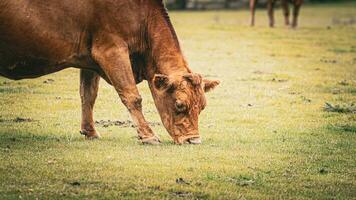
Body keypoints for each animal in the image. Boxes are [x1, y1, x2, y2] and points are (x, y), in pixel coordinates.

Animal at [0, 1, 220, 145]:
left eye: (202, 106)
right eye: (179, 104)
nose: (194, 141)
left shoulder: (89, 58)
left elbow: (88, 95)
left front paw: (90, 132)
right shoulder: (111, 50)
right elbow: (132, 96)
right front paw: (148, 135)